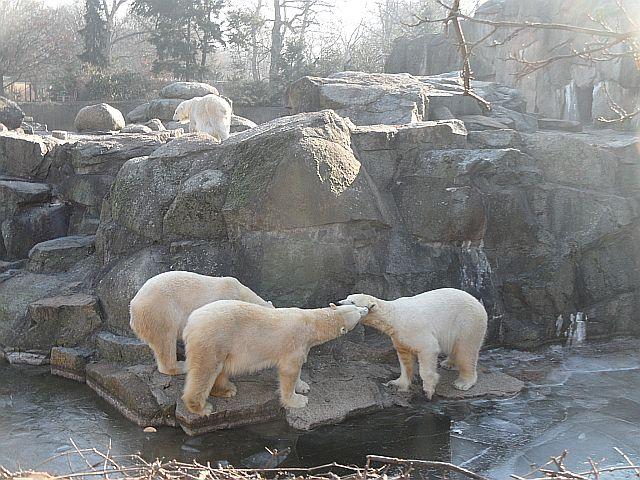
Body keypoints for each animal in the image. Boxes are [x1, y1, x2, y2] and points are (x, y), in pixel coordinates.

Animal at [181, 300, 370, 416]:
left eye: (355, 305)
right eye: (357, 311)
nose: (366, 309)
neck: (311, 322)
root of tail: (191, 322)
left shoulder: (304, 345)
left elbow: (299, 368)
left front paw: (303, 386)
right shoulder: (295, 342)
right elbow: (289, 370)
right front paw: (298, 400)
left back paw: (227, 389)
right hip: (213, 338)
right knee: (205, 371)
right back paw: (202, 407)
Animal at [338, 288, 487, 399]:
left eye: (352, 301)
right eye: (347, 296)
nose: (339, 303)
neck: (393, 317)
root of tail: (478, 303)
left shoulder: (415, 329)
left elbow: (429, 349)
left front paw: (428, 390)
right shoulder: (399, 336)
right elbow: (405, 359)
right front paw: (397, 383)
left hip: (467, 323)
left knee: (466, 352)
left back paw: (463, 383)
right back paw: (447, 363)